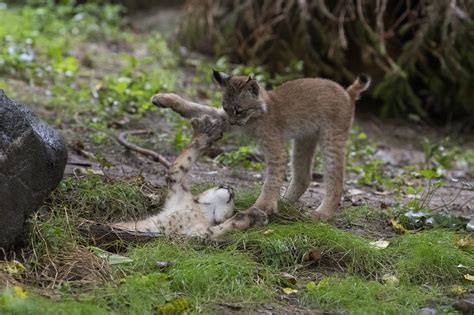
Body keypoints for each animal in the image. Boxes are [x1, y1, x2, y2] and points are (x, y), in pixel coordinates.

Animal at [150, 70, 368, 228]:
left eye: (239, 110)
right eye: (227, 108)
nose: (232, 121)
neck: (257, 114)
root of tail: (345, 93)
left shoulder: (276, 147)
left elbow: (271, 178)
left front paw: (263, 205)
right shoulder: (224, 118)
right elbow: (199, 107)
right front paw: (165, 99)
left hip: (332, 138)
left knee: (336, 179)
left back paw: (321, 213)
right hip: (304, 139)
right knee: (304, 176)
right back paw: (286, 202)